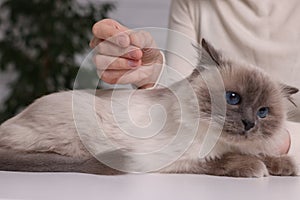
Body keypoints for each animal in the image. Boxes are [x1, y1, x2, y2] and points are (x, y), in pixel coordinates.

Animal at [0, 39, 298, 177]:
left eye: (263, 112)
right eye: (233, 98)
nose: (249, 124)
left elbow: (261, 152)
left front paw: (284, 166)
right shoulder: (177, 160)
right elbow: (223, 160)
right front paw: (257, 168)